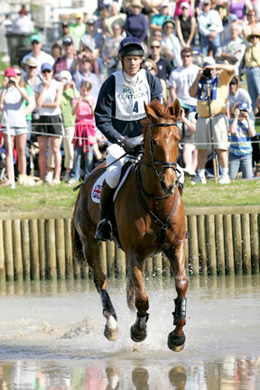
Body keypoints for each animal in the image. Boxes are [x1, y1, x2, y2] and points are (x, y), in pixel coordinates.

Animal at [72, 99, 188, 352]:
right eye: (153, 142)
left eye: (177, 138)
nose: (168, 183)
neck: (157, 199)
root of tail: (86, 181)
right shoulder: (135, 253)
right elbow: (142, 298)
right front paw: (138, 330)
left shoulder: (176, 246)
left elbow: (181, 284)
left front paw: (177, 335)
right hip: (90, 243)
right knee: (101, 281)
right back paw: (112, 326)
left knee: (129, 290)